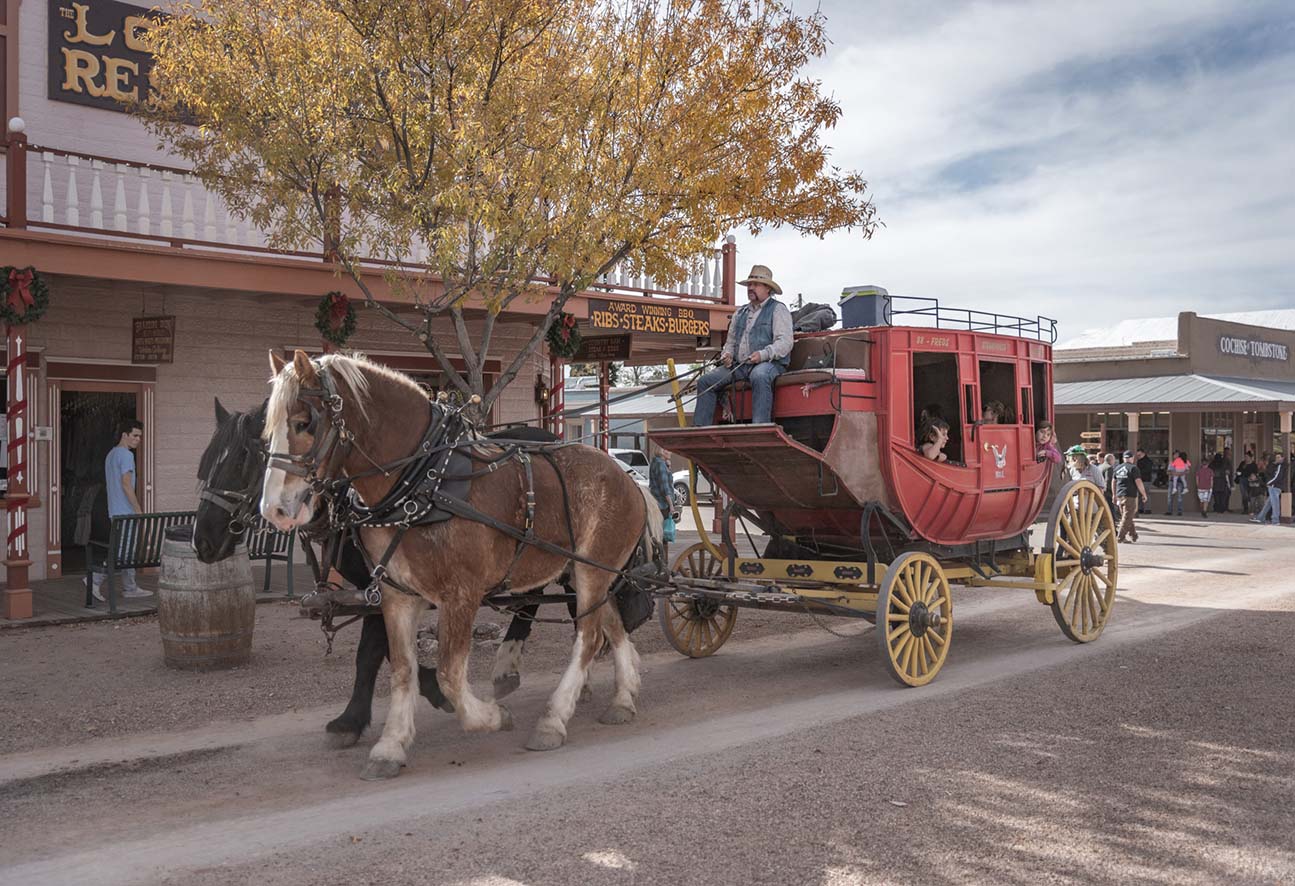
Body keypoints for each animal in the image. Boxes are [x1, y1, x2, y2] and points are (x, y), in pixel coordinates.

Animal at [194, 398, 569, 746]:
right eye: (207, 463)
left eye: (243, 460)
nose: (202, 541)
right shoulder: (379, 590)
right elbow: (390, 649)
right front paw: (431, 691)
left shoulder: (379, 586)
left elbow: (370, 652)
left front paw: (350, 720)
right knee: (533, 597)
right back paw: (509, 666)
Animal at [259, 349, 657, 777]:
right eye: (267, 430)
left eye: (304, 423)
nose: (274, 509)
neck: (423, 485)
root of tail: (628, 478)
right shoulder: (396, 596)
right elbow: (402, 669)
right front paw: (390, 745)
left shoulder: (461, 595)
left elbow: (449, 675)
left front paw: (493, 716)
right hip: (585, 571)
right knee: (611, 625)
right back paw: (623, 697)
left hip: (590, 570)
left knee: (588, 638)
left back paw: (552, 719)